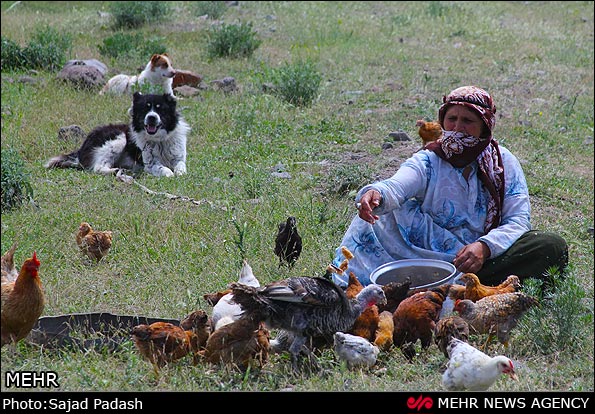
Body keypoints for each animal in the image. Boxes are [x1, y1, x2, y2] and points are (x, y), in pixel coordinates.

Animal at [45, 93, 190, 177]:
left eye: (160, 109)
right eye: (145, 109)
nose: (151, 118)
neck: (159, 140)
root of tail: (81, 148)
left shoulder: (179, 158)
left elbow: (181, 166)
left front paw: (180, 172)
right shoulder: (150, 164)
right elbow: (165, 170)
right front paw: (169, 172)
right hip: (118, 139)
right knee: (98, 167)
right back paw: (116, 171)